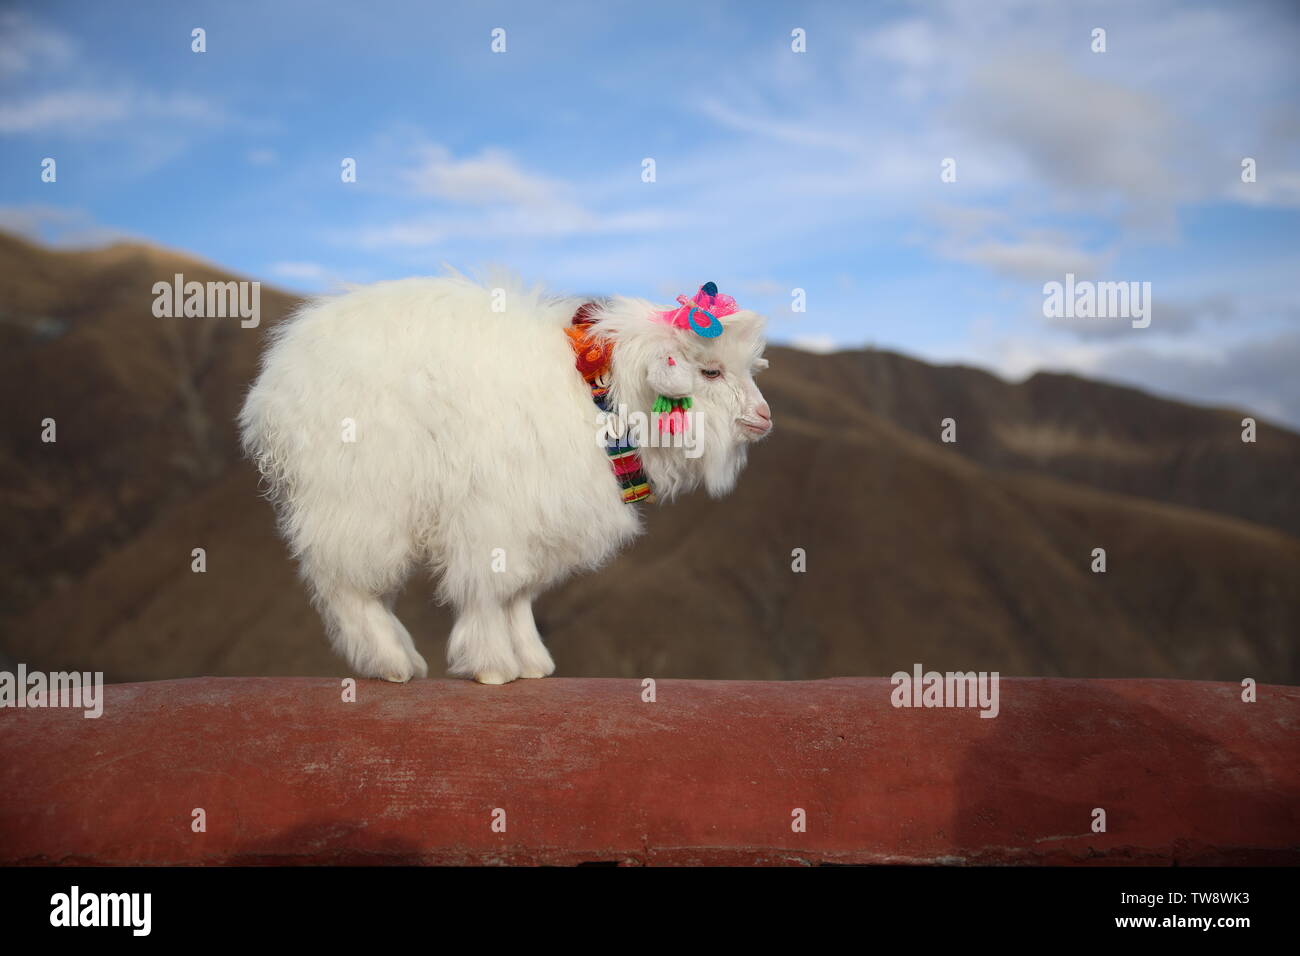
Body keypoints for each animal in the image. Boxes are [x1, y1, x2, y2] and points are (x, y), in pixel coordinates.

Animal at [238, 274, 772, 684]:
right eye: (710, 371)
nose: (764, 417)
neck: (602, 396)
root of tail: (274, 384)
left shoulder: (532, 523)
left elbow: (518, 595)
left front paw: (531, 661)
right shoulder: (490, 519)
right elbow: (487, 593)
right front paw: (493, 665)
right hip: (358, 499)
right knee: (346, 586)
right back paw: (392, 662)